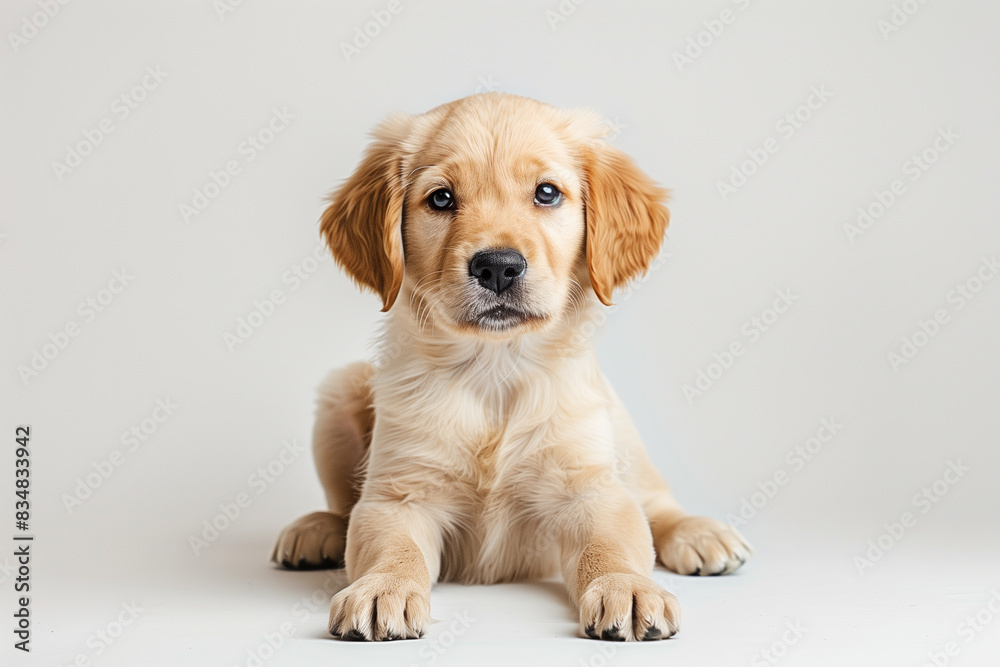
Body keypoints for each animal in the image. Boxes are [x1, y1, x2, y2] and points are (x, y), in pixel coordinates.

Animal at [274, 92, 752, 640]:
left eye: (547, 193)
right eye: (441, 199)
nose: (498, 266)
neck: (495, 369)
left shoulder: (589, 487)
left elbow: (615, 541)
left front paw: (627, 587)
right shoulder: (399, 493)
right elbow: (390, 545)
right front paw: (382, 587)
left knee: (653, 501)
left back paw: (699, 533)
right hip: (341, 389)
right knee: (341, 505)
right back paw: (315, 530)